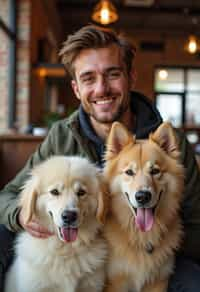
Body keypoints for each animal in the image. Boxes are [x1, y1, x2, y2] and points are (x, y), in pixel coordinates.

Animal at [104, 121, 184, 292]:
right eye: (129, 172)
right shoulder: (115, 281)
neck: (141, 236)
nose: (142, 197)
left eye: (155, 171)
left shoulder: (159, 282)